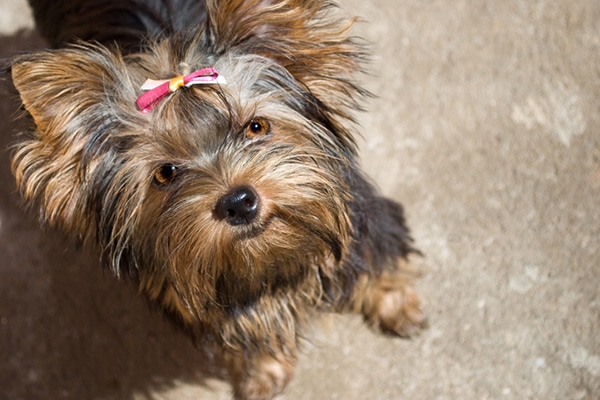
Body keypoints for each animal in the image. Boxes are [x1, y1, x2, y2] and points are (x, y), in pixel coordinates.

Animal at [9, 1, 426, 398]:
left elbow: (377, 257)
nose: (239, 202)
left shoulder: (360, 212)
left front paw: (397, 304)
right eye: (165, 173)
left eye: (256, 126)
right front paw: (262, 372)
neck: (270, 260)